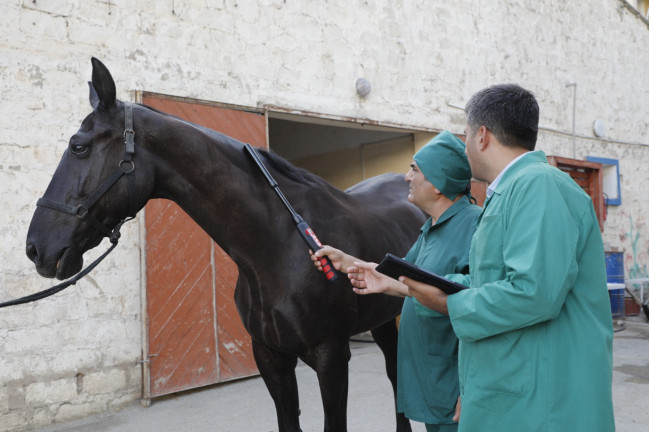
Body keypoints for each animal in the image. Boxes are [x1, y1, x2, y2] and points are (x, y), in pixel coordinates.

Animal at [25, 58, 422, 432]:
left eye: (78, 147)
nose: (36, 248)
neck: (282, 245)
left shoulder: (332, 357)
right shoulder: (270, 357)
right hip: (384, 316)